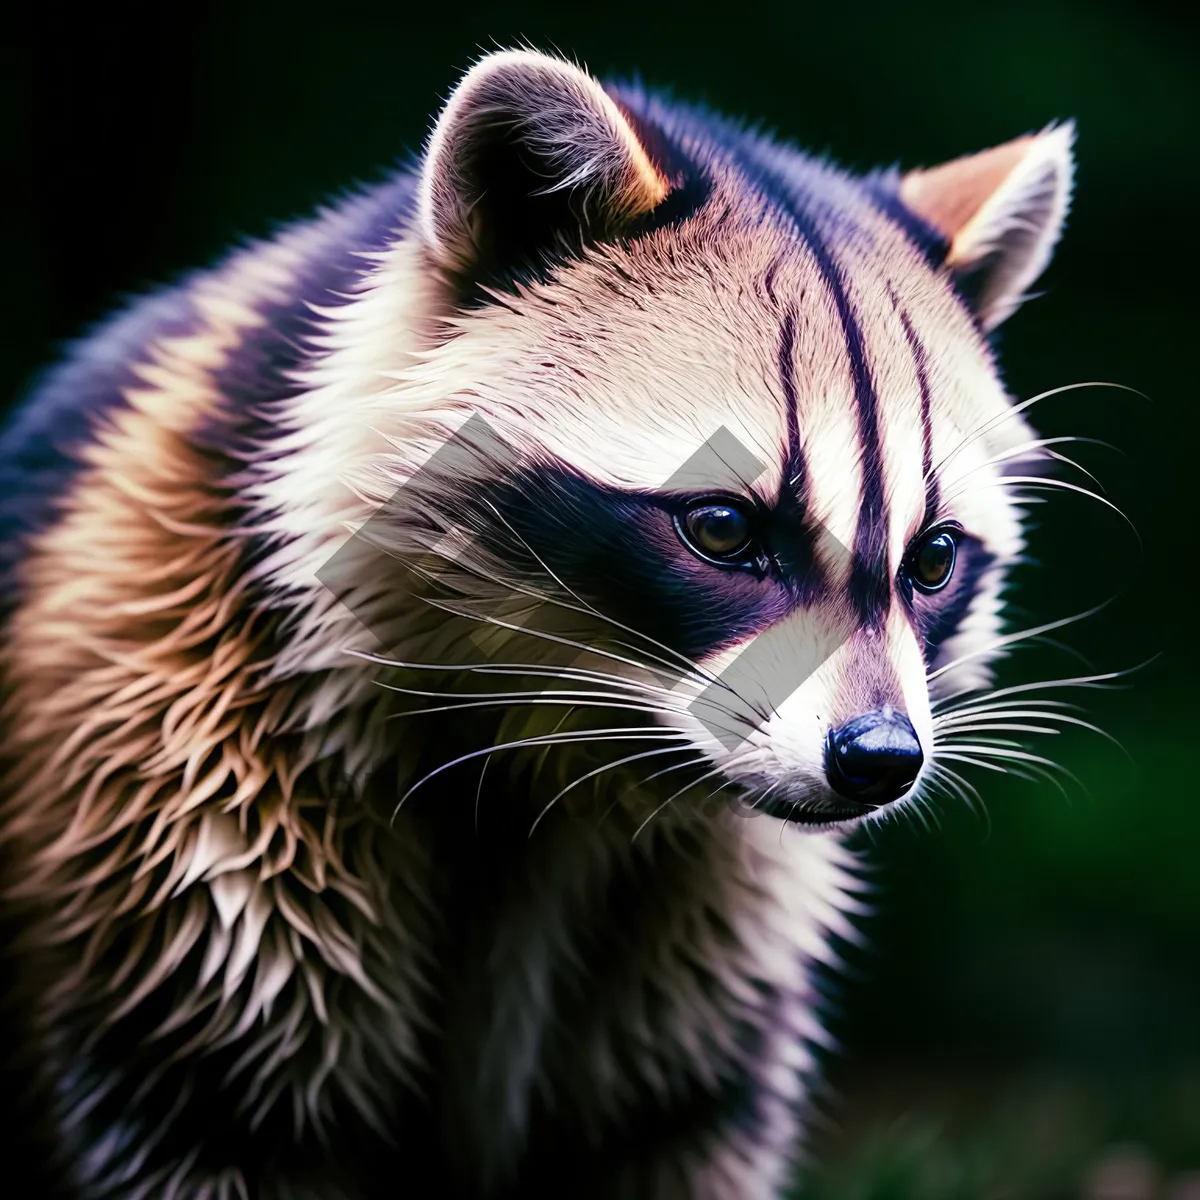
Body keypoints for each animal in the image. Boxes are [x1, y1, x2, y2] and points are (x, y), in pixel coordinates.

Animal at [0, 46, 1080, 1200]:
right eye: (723, 529)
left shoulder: (713, 933)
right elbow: (204, 1125)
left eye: (933, 561)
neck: (558, 759)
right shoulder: (187, 783)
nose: (880, 758)